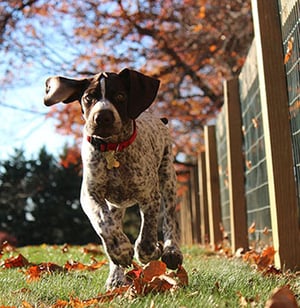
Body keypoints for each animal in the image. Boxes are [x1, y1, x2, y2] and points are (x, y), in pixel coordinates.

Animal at [43, 68, 182, 290]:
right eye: (88, 97)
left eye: (120, 96)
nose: (102, 117)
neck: (113, 149)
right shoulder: (90, 195)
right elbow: (104, 223)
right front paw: (121, 250)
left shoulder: (150, 195)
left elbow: (148, 231)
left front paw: (150, 251)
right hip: (116, 205)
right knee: (113, 224)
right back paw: (116, 277)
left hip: (168, 177)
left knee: (170, 218)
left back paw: (171, 251)